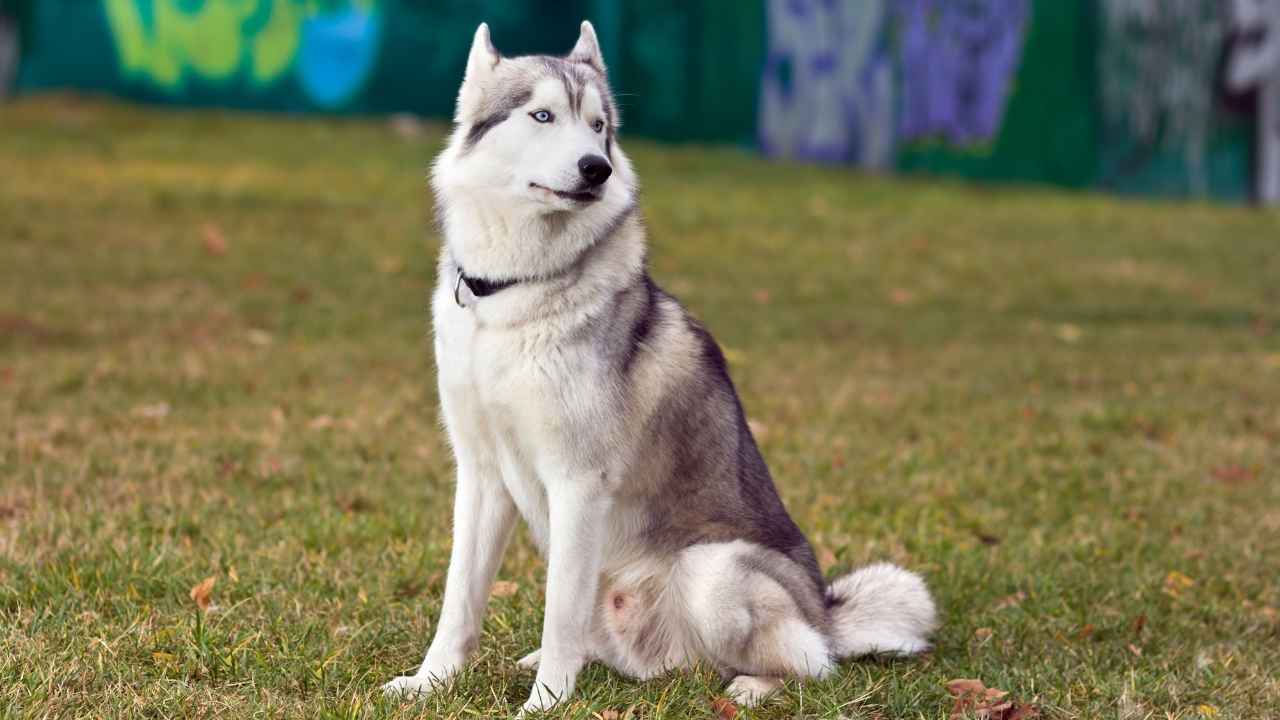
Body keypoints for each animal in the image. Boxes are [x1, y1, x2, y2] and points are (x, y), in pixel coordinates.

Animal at [381, 19, 942, 707]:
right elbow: (460, 600)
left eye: (598, 126)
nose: (596, 168)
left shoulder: (577, 483)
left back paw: (751, 686)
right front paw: (429, 683)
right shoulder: (482, 475)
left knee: (814, 664)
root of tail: (825, 612)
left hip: (715, 571)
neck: (509, 296)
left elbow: (558, 609)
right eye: (542, 115)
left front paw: (546, 705)